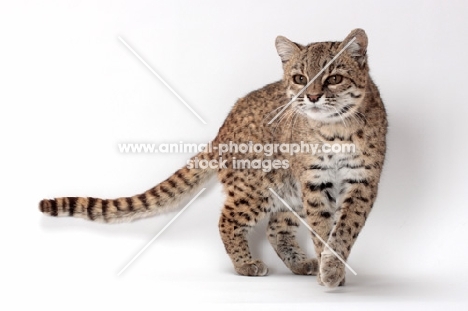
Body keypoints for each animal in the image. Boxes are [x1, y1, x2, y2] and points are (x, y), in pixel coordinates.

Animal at [38, 29, 388, 290]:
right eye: (300, 78)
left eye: (334, 78)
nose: (312, 97)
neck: (335, 130)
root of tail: (223, 127)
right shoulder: (315, 181)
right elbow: (323, 228)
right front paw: (331, 273)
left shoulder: (362, 182)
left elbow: (344, 228)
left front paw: (333, 269)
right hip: (254, 188)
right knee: (228, 220)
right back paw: (246, 264)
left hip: (289, 190)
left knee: (276, 227)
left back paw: (299, 263)